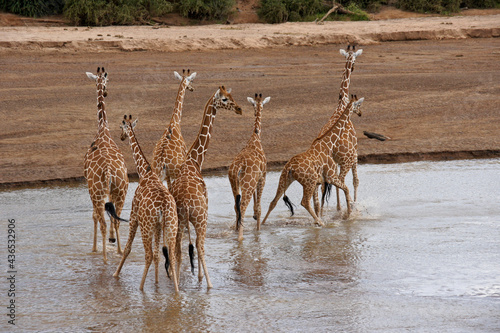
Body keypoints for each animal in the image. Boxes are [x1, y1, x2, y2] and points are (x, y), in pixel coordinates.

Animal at [112, 115, 179, 292]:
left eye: (121, 127)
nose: (121, 137)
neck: (144, 173)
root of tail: (163, 206)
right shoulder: (158, 226)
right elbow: (157, 256)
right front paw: (156, 283)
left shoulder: (134, 216)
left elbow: (127, 249)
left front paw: (115, 274)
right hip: (171, 225)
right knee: (171, 256)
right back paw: (176, 292)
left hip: (146, 226)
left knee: (147, 255)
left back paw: (141, 288)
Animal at [171, 86, 243, 288]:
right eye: (225, 99)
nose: (239, 109)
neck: (194, 161)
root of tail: (187, 205)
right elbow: (198, 246)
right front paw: (201, 278)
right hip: (201, 219)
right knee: (200, 246)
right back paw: (209, 284)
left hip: (180, 221)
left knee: (179, 250)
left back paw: (177, 286)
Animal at [229, 92, 272, 240]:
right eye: (263, 105)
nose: (257, 110)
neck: (255, 137)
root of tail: (238, 167)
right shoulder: (263, 176)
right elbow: (259, 208)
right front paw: (258, 230)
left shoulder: (256, 179)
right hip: (247, 184)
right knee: (242, 207)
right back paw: (240, 237)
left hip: (234, 183)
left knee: (236, 207)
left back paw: (236, 231)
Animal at [262, 96, 364, 226]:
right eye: (358, 105)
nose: (360, 113)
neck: (329, 143)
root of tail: (290, 167)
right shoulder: (330, 176)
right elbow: (346, 189)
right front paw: (348, 214)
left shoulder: (320, 182)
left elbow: (319, 203)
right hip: (309, 181)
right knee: (304, 202)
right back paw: (321, 223)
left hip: (285, 179)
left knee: (273, 201)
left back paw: (261, 225)